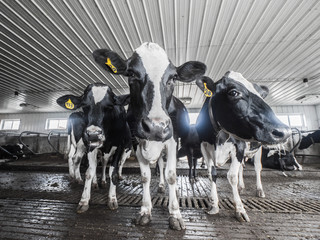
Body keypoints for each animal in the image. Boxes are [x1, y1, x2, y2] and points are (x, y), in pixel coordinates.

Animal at [57, 83, 132, 213]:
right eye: (84, 105)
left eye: (110, 106)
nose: (93, 134)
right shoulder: (91, 146)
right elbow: (89, 172)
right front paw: (84, 200)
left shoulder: (120, 146)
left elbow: (113, 172)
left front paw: (112, 199)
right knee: (79, 159)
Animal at [94, 42, 206, 231]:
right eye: (131, 74)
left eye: (173, 77)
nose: (156, 127)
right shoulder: (136, 141)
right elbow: (145, 176)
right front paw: (145, 211)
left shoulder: (172, 140)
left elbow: (171, 175)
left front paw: (175, 214)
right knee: (160, 163)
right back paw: (160, 186)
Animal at [194, 72, 292, 222]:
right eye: (234, 92)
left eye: (261, 95)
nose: (285, 131)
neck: (218, 138)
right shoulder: (204, 147)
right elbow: (212, 174)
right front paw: (214, 205)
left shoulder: (238, 147)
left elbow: (232, 176)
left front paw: (239, 209)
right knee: (241, 168)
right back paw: (241, 187)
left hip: (258, 150)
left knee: (257, 168)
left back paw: (259, 190)